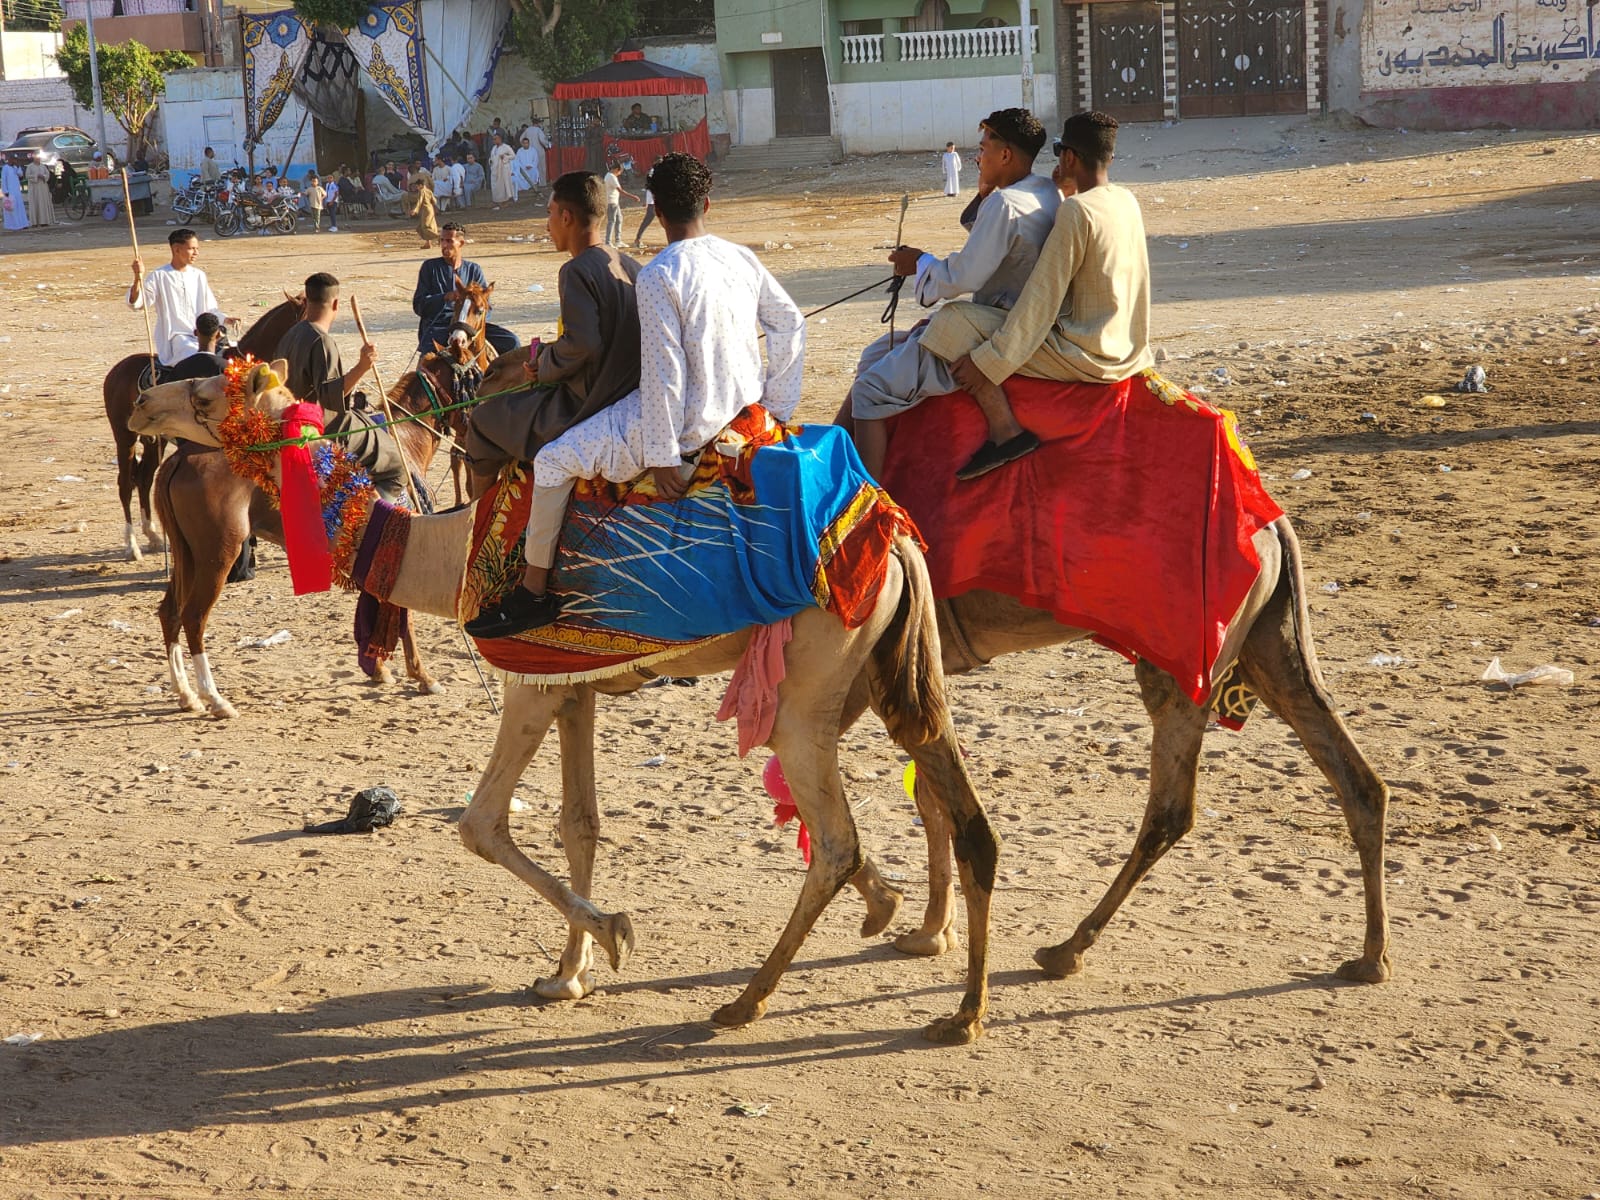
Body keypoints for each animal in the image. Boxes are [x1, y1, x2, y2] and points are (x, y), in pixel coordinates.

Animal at [106, 294, 308, 563]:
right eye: (303, 318)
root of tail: (116, 370)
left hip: (154, 441)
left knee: (144, 477)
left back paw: (153, 536)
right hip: (124, 437)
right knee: (126, 483)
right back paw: (132, 545)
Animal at [128, 361, 998, 1049]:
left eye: (208, 394)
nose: (142, 404)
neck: (449, 555)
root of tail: (893, 536)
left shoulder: (523, 680)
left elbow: (481, 824)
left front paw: (612, 934)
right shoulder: (569, 686)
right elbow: (580, 822)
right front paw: (565, 975)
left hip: (811, 682)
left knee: (838, 837)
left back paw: (746, 1002)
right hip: (880, 674)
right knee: (952, 809)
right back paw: (950, 997)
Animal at [876, 374, 1388, 985]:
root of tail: (1274, 521)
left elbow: (927, 791)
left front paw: (928, 931)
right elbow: (930, 792)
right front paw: (932, 930)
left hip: (1184, 656)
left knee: (1171, 806)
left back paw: (1067, 947)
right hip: (1269, 636)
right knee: (1356, 777)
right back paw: (1371, 957)